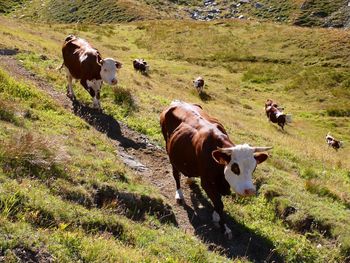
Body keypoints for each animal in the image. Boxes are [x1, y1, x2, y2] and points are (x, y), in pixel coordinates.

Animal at [160, 100, 272, 239]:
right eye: (235, 167)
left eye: (254, 168)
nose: (250, 191)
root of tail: (177, 102)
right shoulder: (207, 182)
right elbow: (219, 204)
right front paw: (225, 228)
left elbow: (218, 201)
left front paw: (216, 216)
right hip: (169, 150)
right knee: (176, 174)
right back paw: (179, 195)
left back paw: (190, 179)